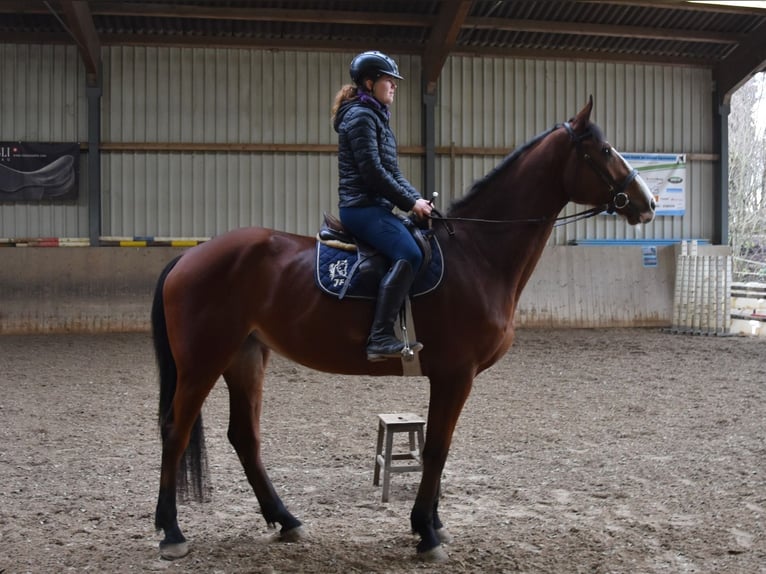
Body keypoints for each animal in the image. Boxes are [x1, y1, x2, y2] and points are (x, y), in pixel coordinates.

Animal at [151, 97, 656, 562]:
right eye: (604, 149)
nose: (647, 203)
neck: (477, 254)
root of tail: (189, 257)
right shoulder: (455, 375)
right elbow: (436, 450)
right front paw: (426, 533)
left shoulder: (450, 377)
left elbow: (439, 449)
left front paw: (433, 524)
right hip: (203, 361)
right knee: (176, 431)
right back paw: (172, 532)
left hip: (245, 356)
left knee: (244, 437)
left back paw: (286, 519)